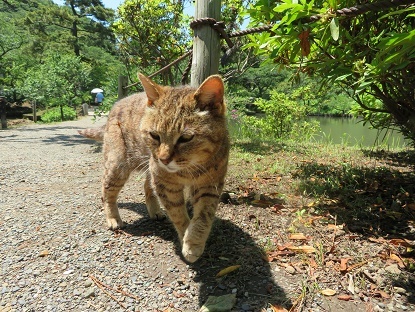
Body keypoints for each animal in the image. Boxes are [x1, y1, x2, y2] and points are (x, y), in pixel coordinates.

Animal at [79, 74, 231, 262]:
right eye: (154, 135)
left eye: (186, 138)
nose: (164, 159)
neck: (188, 169)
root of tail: (116, 105)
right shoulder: (165, 183)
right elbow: (178, 215)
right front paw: (186, 239)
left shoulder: (209, 185)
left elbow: (203, 216)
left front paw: (194, 242)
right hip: (119, 165)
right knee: (106, 191)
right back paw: (113, 218)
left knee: (146, 185)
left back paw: (155, 210)